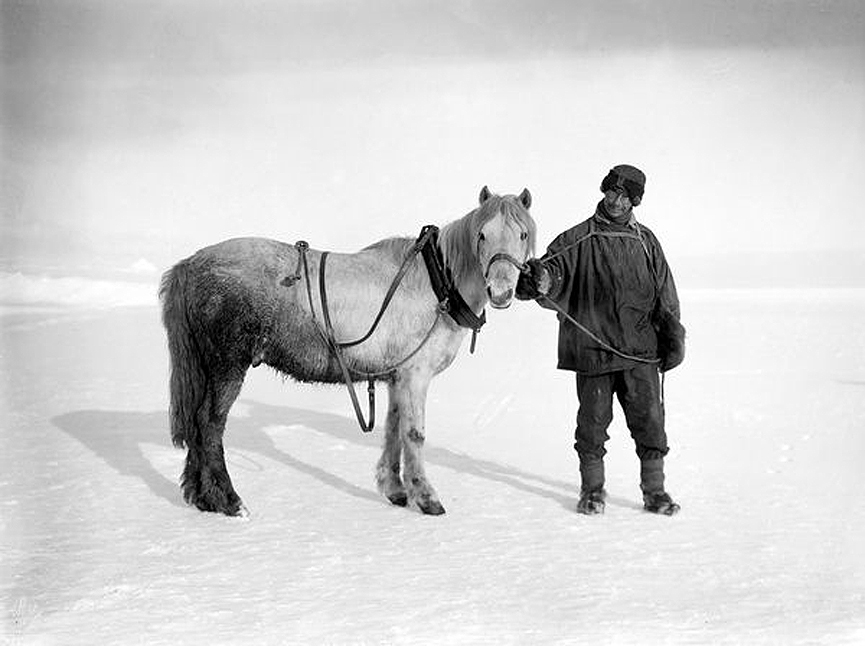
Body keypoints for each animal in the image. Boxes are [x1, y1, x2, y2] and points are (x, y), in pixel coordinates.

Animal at [159, 186, 536, 517]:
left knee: (197, 425)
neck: (435, 285)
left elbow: (393, 430)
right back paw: (229, 501)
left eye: (522, 235)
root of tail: (191, 264)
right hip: (227, 365)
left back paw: (203, 498)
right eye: (482, 235)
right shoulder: (415, 375)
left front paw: (395, 490)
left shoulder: (397, 377)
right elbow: (414, 434)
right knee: (210, 424)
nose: (501, 291)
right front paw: (427, 498)